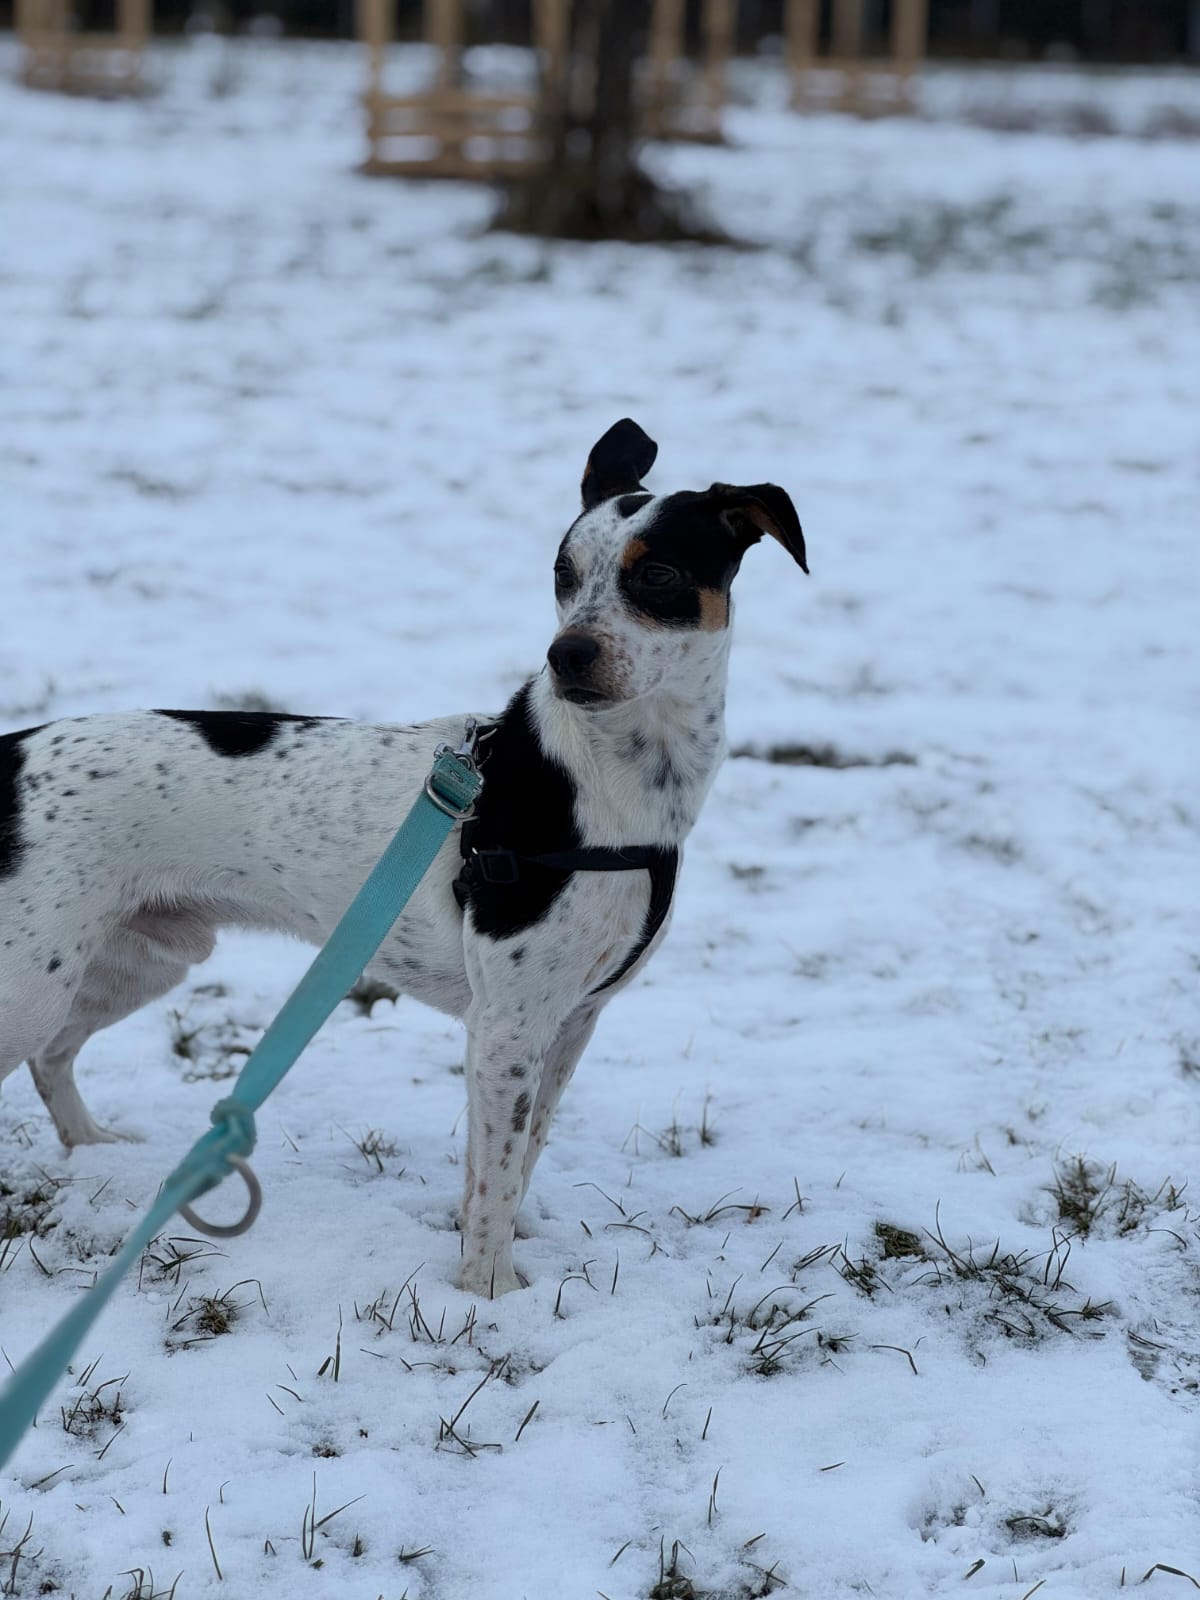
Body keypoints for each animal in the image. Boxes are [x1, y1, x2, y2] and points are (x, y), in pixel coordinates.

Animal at [0, 420, 806, 1297]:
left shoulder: (568, 1020)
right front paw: (489, 1293)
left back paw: (94, 1151)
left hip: (138, 959)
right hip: (33, 981)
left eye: (656, 574)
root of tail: (6, 752)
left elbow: (513, 1161)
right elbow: (496, 1173)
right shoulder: (508, 1026)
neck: (618, 790)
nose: (566, 655)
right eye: (563, 574)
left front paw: (491, 1256)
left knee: (53, 1056)